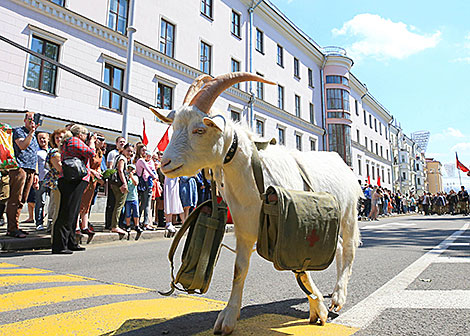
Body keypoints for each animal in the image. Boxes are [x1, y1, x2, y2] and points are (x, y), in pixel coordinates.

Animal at [151, 72, 364, 334]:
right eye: (174, 127)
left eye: (199, 129)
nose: (165, 163)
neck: (254, 173)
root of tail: (341, 161)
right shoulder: (244, 228)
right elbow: (239, 270)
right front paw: (228, 318)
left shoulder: (290, 228)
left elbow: (300, 269)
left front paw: (319, 310)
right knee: (339, 247)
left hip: (348, 213)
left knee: (349, 248)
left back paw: (338, 298)